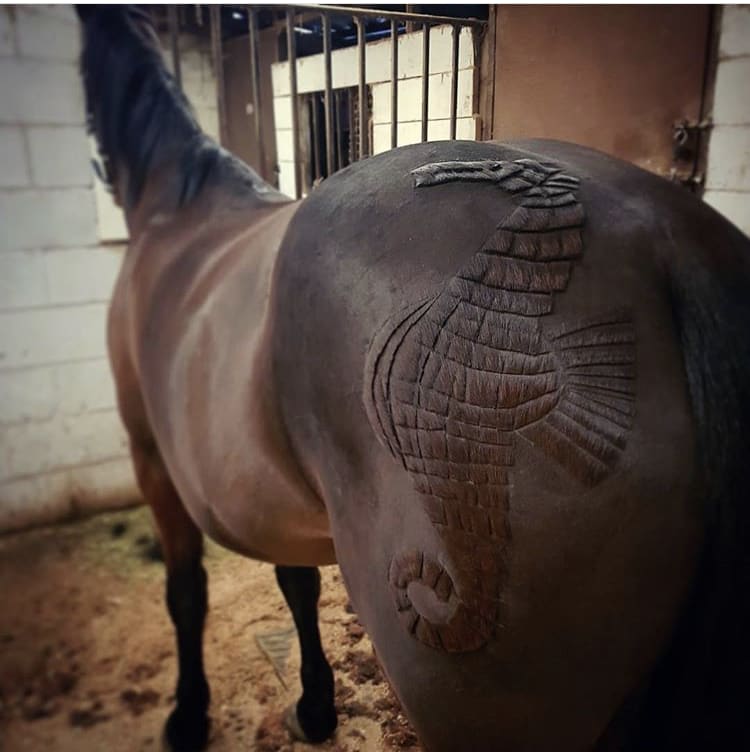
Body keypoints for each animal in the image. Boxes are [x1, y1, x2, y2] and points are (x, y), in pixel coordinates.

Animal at [77, 7, 750, 752]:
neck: (176, 208)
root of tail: (662, 233)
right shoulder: (271, 494)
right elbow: (296, 583)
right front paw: (315, 706)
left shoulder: (151, 460)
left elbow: (187, 593)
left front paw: (190, 716)